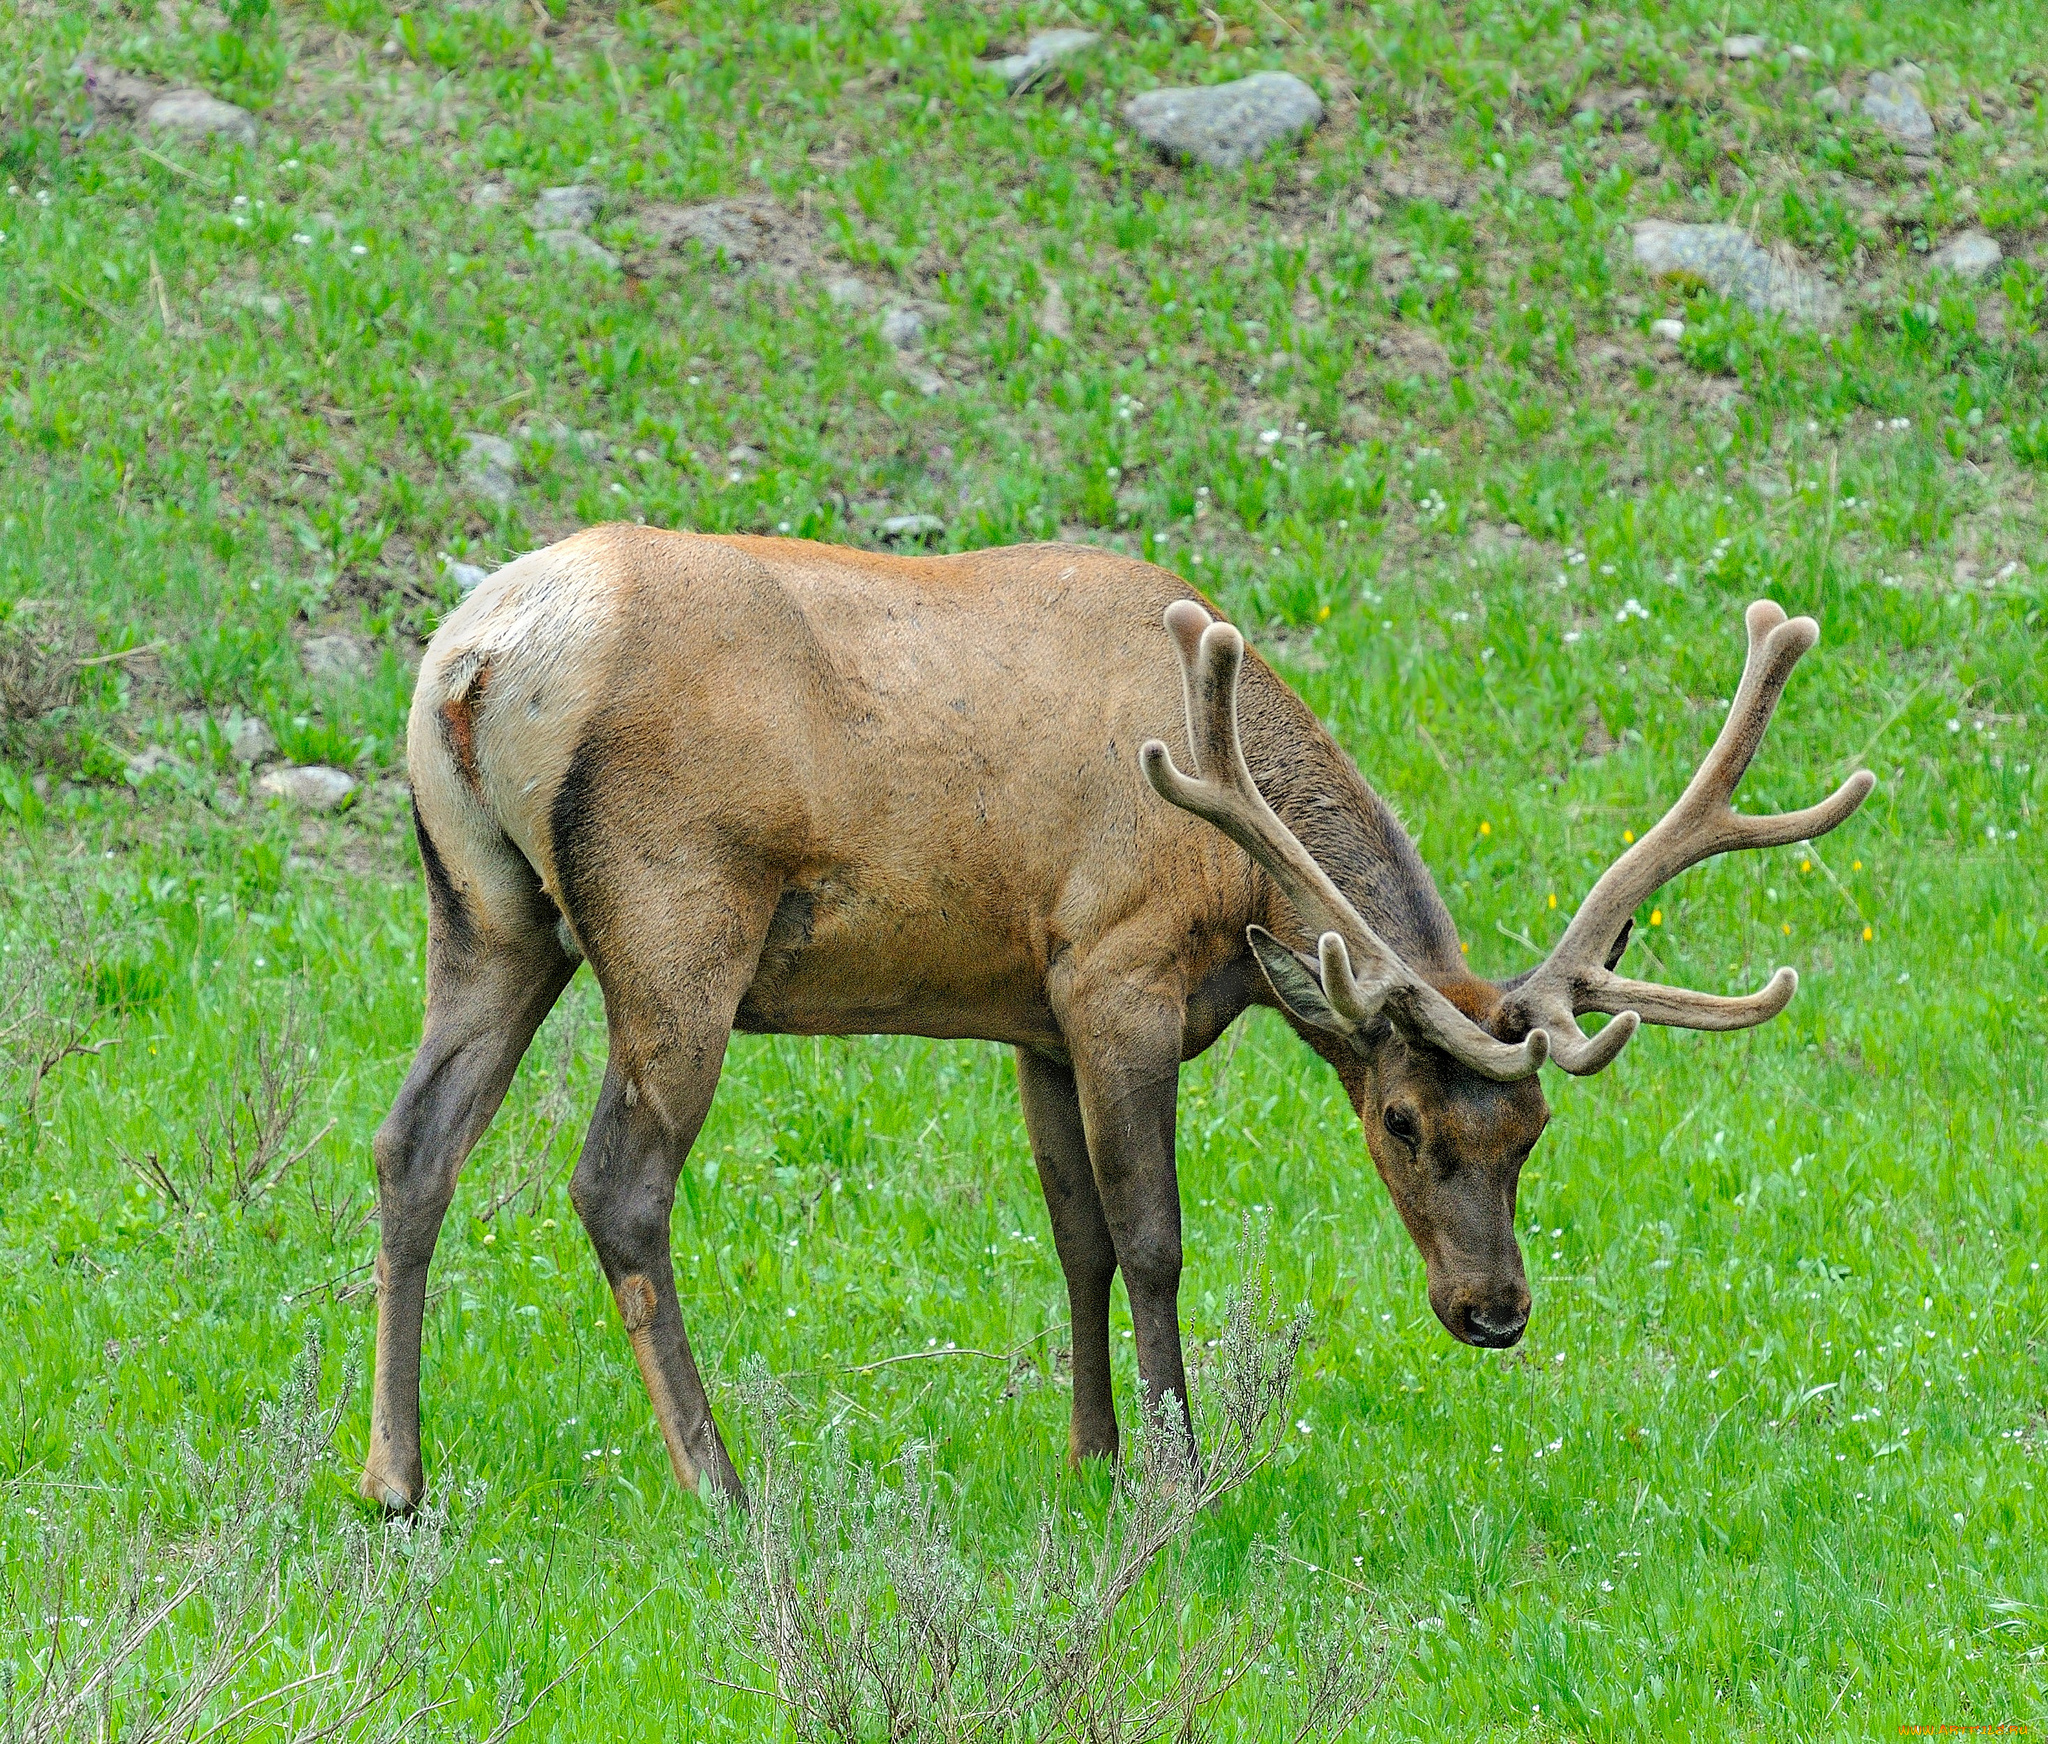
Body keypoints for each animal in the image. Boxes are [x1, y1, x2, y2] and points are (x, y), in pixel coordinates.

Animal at [356, 521, 1875, 1514]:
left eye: (1534, 1131)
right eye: (1398, 1120)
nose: (1492, 1308)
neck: (1231, 868)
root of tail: (473, 658)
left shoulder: (1034, 1014)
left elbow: (1073, 1237)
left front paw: (1091, 1458)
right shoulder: (1113, 973)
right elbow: (1151, 1238)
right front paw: (1177, 1475)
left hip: (483, 909)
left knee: (411, 1144)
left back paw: (395, 1476)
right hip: (677, 917)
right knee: (617, 1185)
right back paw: (720, 1483)